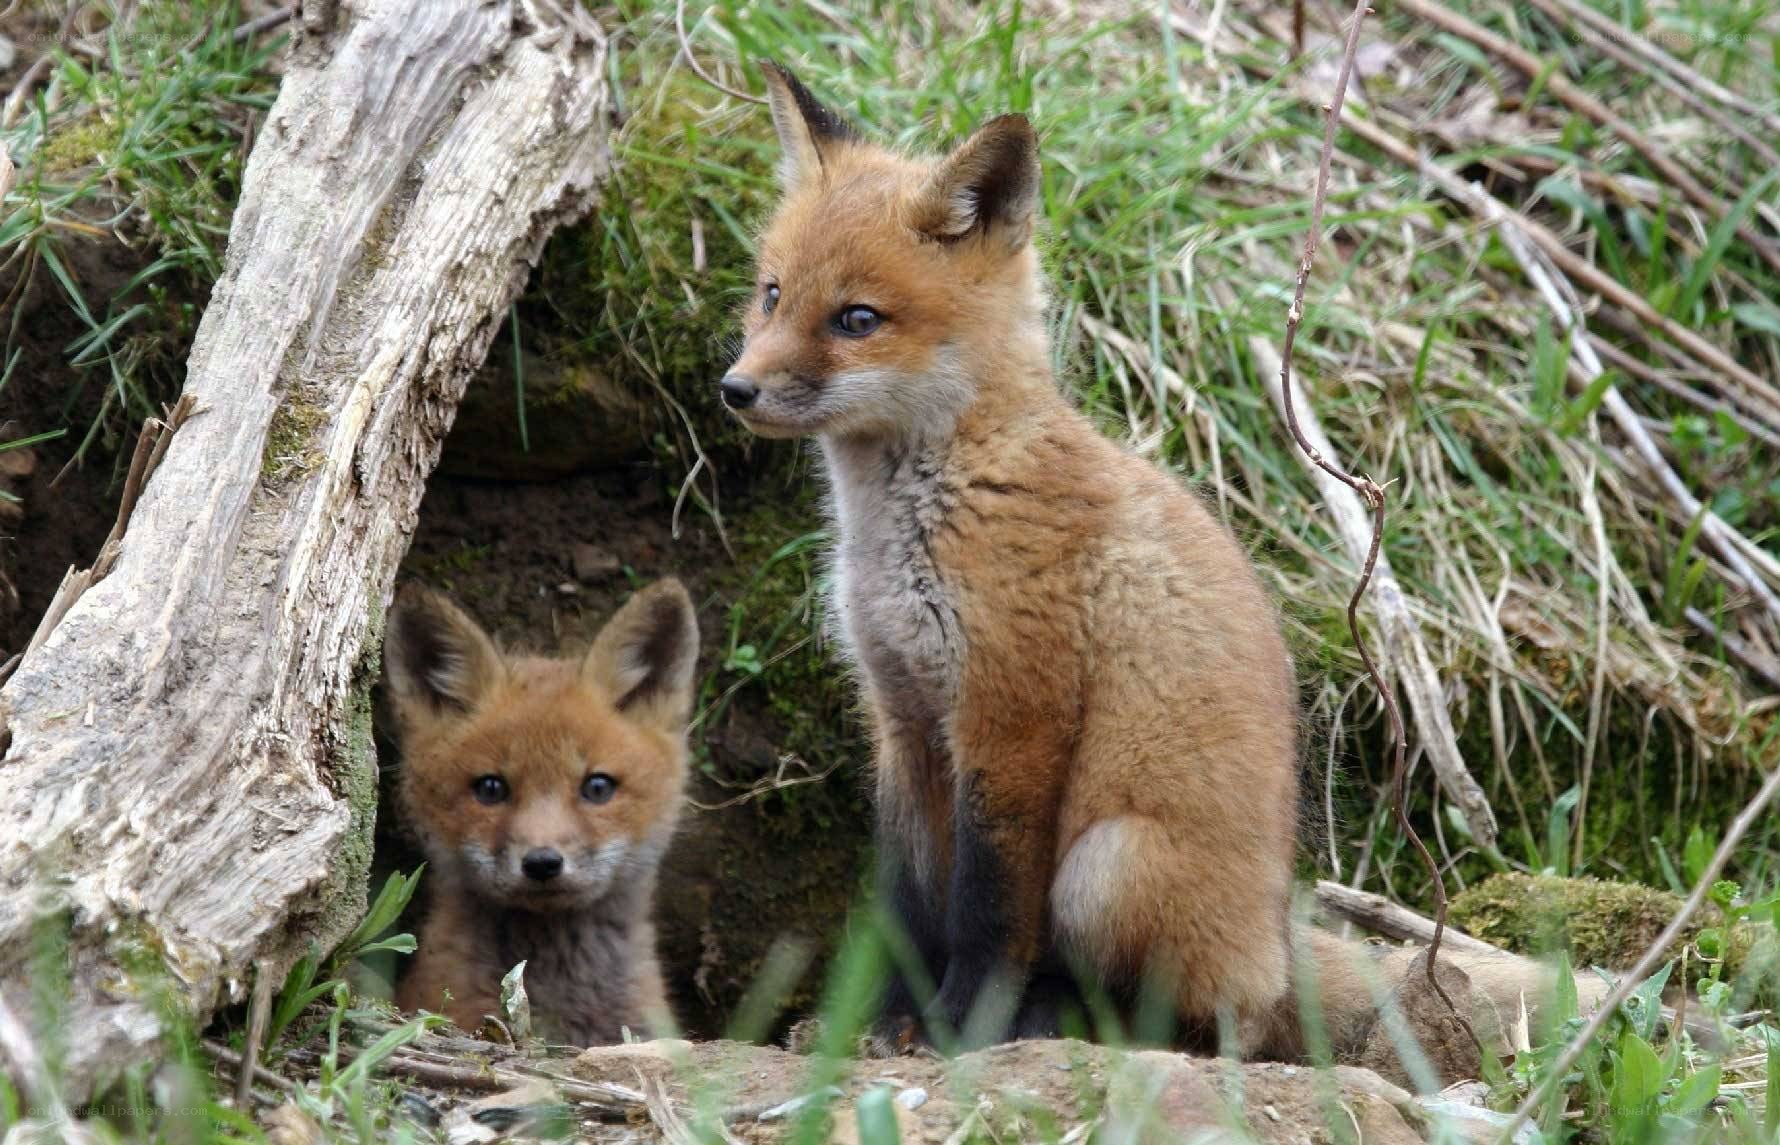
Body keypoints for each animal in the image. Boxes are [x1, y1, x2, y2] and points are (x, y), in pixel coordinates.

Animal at [719, 61, 1604, 1072]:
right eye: (772, 295)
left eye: (857, 318)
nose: (735, 389)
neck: (925, 514)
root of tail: (1275, 934)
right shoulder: (901, 716)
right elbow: (909, 904)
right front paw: (884, 1025)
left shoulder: (1013, 716)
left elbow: (986, 910)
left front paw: (961, 1027)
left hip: (1107, 864)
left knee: (1209, 1021)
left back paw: (1065, 1021)